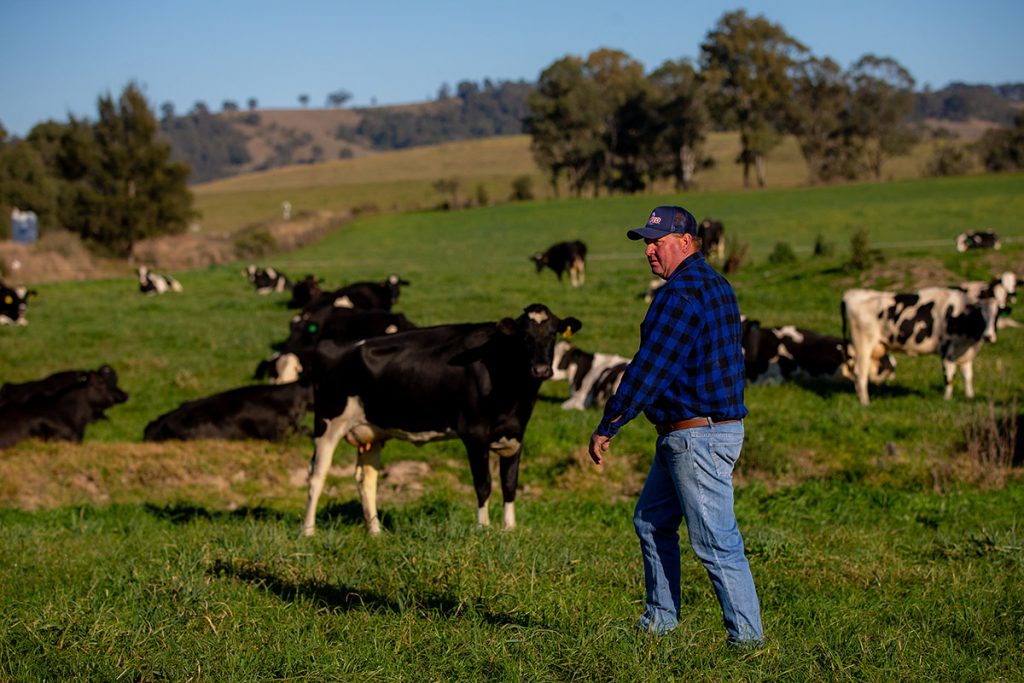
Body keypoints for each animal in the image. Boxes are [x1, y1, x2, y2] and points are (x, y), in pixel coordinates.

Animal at [299, 301, 581, 536]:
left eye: (553, 333)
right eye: (524, 336)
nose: (541, 369)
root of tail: (330, 343)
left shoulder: (515, 435)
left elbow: (510, 484)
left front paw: (510, 528)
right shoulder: (474, 435)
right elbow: (484, 484)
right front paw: (484, 528)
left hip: (372, 430)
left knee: (366, 479)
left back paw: (376, 532)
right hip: (327, 425)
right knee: (316, 476)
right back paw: (308, 531)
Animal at [839, 284, 999, 403]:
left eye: (996, 316)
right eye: (980, 316)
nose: (988, 336)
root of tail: (851, 294)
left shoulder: (964, 353)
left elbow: (968, 376)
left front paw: (970, 398)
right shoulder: (947, 350)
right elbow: (949, 376)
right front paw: (947, 399)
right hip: (863, 344)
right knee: (860, 372)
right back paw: (865, 402)